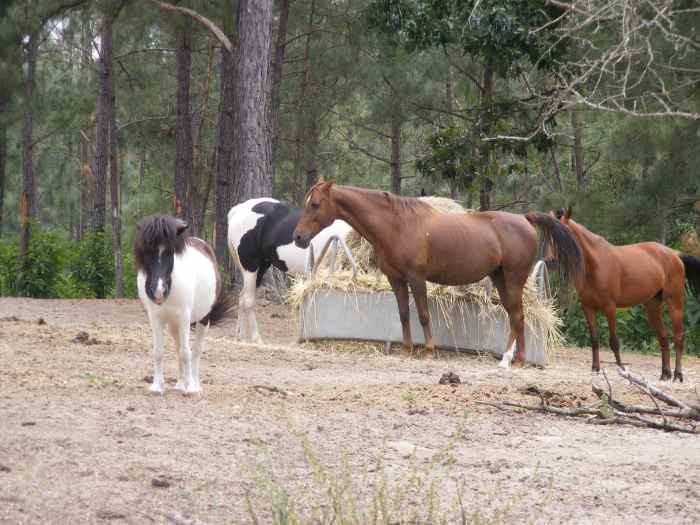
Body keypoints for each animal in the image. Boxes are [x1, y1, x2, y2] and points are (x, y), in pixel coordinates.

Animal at [134, 215, 235, 394]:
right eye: (147, 251)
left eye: (170, 251)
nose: (158, 290)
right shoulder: (155, 318)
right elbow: (159, 351)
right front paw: (157, 386)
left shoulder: (184, 318)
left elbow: (186, 352)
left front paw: (190, 388)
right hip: (174, 324)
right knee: (178, 347)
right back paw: (180, 383)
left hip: (203, 319)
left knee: (195, 350)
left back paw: (193, 384)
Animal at [228, 198, 352, 343]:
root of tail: (239, 209)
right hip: (251, 266)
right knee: (247, 300)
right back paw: (256, 338)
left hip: (261, 267)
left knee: (242, 298)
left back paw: (240, 337)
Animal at [292, 180, 582, 364]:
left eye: (315, 204)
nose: (298, 237)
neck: (397, 225)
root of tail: (523, 219)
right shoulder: (396, 279)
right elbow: (403, 315)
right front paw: (407, 350)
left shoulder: (416, 279)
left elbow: (422, 314)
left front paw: (429, 351)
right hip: (501, 279)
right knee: (515, 316)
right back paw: (517, 359)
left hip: (512, 279)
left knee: (518, 316)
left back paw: (510, 360)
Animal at [547, 206, 700, 381]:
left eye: (564, 233)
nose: (551, 261)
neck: (596, 264)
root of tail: (675, 254)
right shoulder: (588, 307)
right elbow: (594, 339)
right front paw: (595, 368)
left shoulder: (610, 307)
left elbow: (614, 341)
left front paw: (621, 369)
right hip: (652, 307)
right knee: (663, 337)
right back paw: (665, 374)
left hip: (675, 302)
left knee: (679, 336)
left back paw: (677, 375)